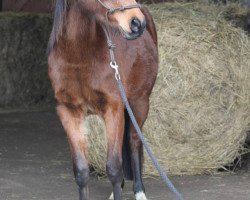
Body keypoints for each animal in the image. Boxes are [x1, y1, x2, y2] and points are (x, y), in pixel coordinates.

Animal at [47, 0, 158, 200]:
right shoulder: (68, 112)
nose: (137, 23)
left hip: (140, 103)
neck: (78, 57)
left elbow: (113, 169)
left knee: (134, 142)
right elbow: (81, 172)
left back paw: (139, 191)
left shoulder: (113, 109)